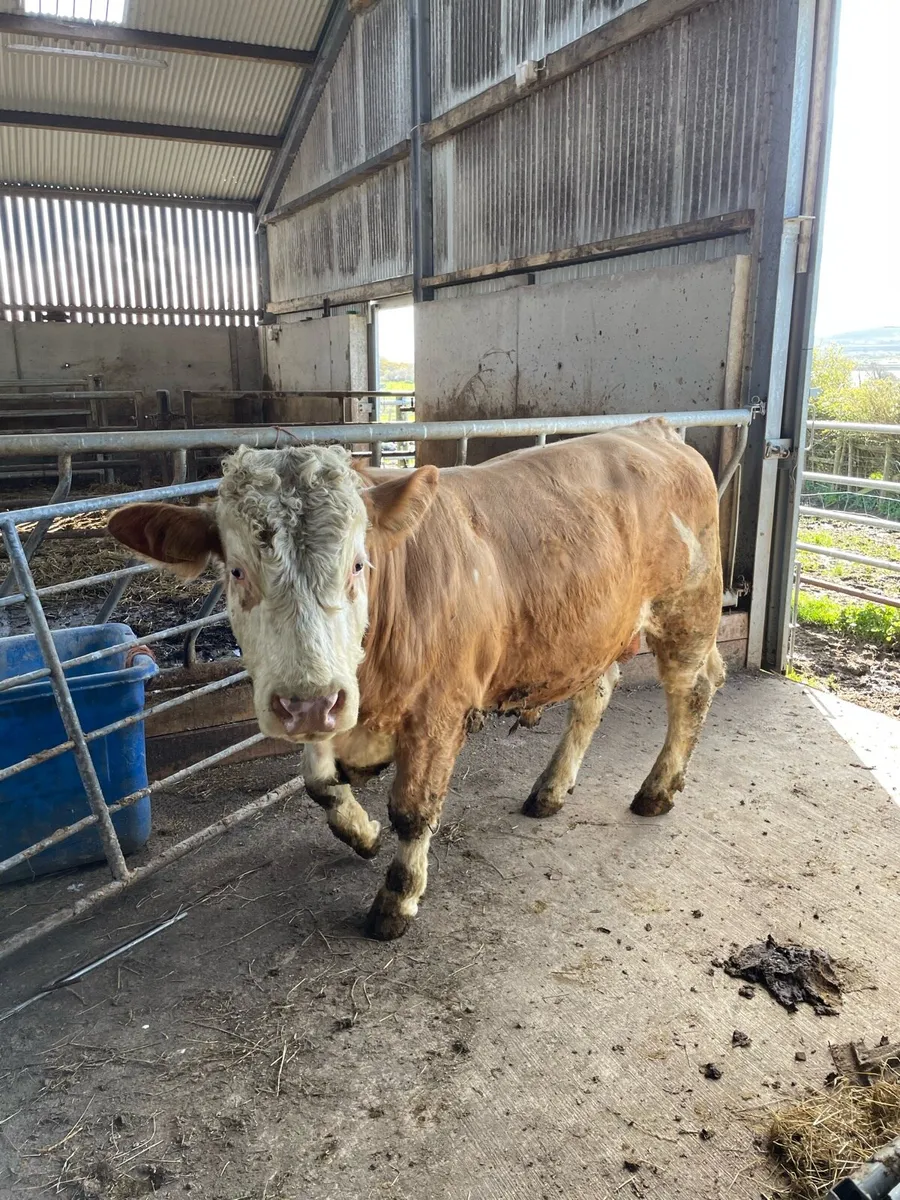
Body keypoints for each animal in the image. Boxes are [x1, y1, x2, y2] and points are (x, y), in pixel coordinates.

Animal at [108, 420, 725, 941]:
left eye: (359, 564)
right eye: (236, 571)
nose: (305, 706)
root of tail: (654, 429)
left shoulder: (438, 712)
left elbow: (412, 808)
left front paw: (397, 898)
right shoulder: (339, 699)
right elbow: (318, 781)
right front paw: (361, 832)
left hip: (687, 611)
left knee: (693, 689)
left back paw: (657, 790)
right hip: (596, 635)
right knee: (595, 695)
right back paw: (551, 789)